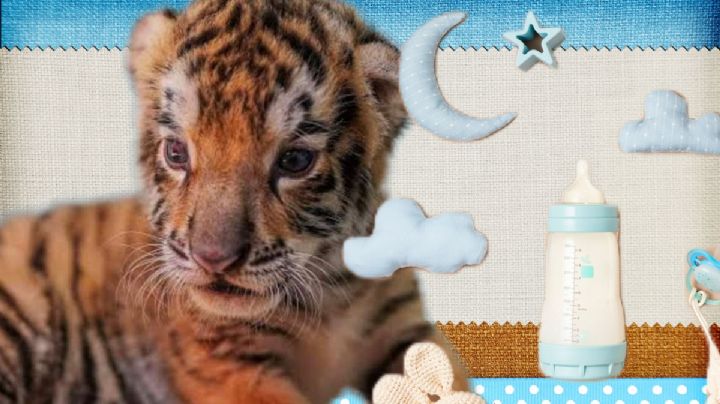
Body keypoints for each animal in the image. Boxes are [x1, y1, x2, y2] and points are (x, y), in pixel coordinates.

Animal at [0, 0, 469, 402]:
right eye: (176, 153)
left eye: (295, 161)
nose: (213, 260)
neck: (330, 295)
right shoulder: (225, 363)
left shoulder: (406, 332)